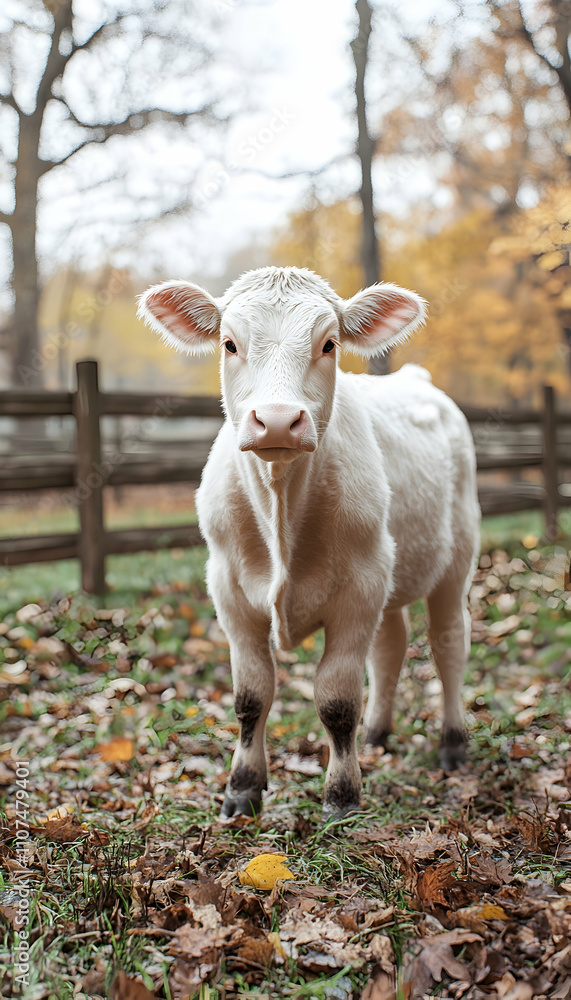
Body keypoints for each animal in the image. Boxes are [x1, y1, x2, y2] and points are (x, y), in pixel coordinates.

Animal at [138, 266, 480, 821]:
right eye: (229, 343)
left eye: (329, 344)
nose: (277, 420)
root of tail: (415, 378)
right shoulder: (230, 591)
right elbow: (251, 696)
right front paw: (242, 788)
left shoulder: (359, 589)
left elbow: (337, 700)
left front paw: (342, 796)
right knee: (391, 644)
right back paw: (378, 733)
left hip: (456, 560)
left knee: (449, 644)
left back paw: (452, 743)